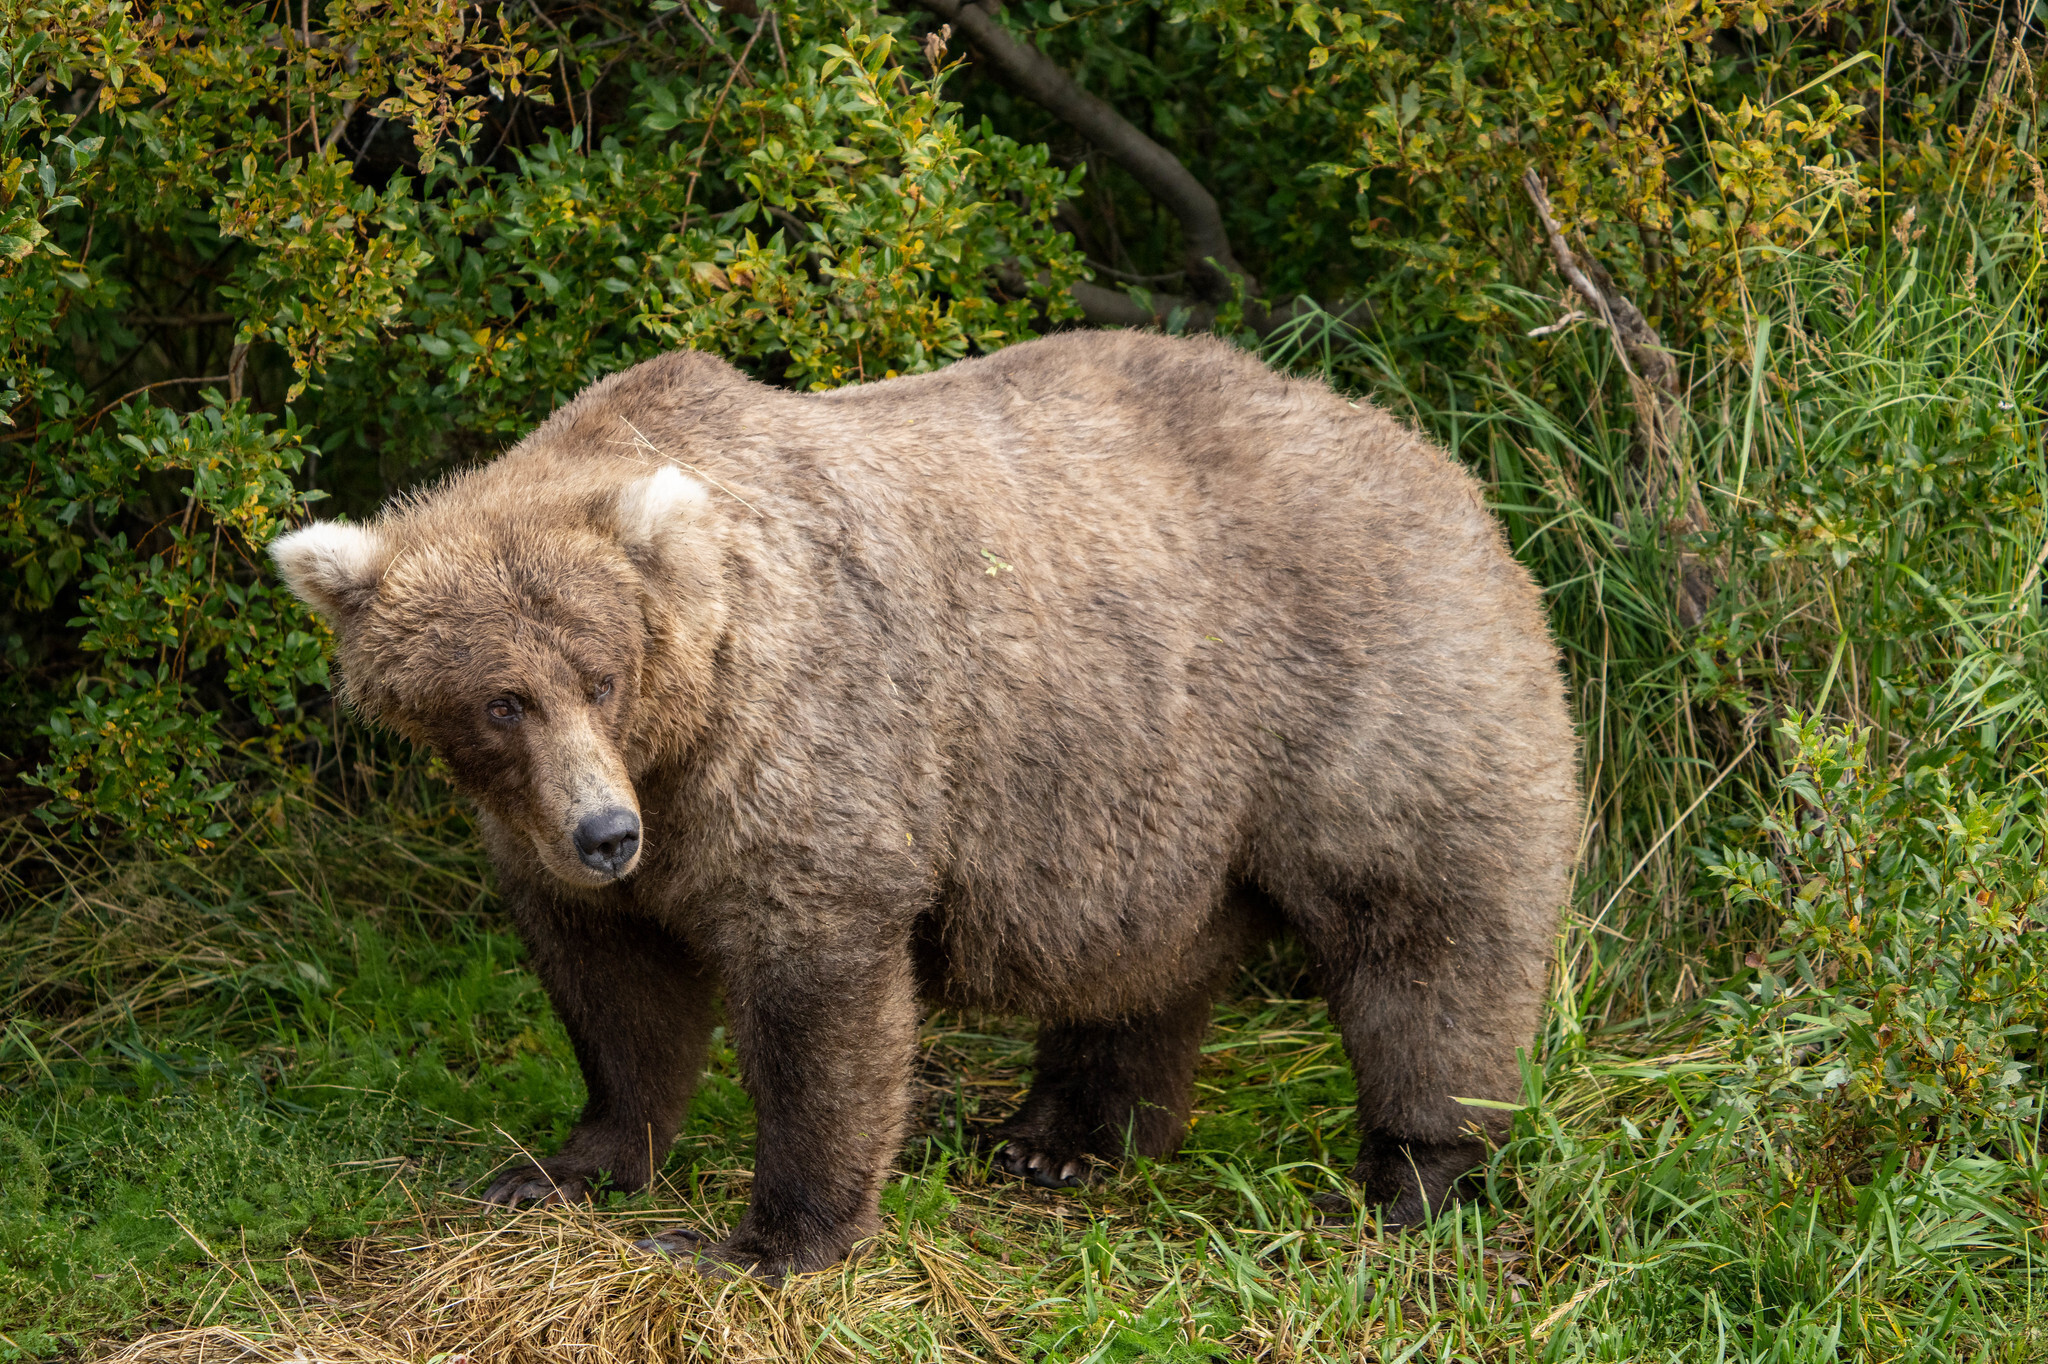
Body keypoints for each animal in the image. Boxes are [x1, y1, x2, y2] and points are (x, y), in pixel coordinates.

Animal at [272, 327, 1572, 1277]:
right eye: (499, 701)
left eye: (598, 673)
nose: (605, 833)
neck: (678, 739)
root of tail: (1436, 457)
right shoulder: (563, 833)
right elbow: (615, 989)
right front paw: (561, 1163)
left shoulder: (804, 745)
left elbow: (818, 990)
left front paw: (760, 1237)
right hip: (1152, 785)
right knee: (1139, 959)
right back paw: (1058, 1139)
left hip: (1363, 701)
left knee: (1423, 933)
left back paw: (1413, 1174)